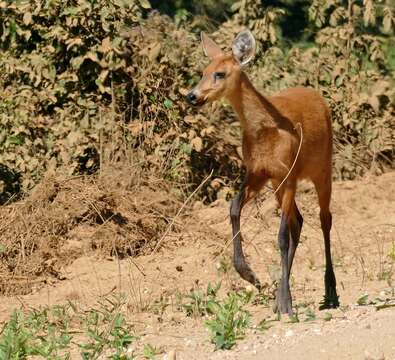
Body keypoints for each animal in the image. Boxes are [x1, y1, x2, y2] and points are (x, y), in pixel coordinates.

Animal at [186, 31, 340, 316]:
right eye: (203, 72)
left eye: (220, 73)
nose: (192, 96)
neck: (265, 131)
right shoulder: (258, 172)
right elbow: (234, 208)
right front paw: (249, 275)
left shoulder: (289, 173)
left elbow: (280, 237)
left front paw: (287, 304)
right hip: (280, 184)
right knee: (299, 221)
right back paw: (281, 297)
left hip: (323, 168)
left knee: (324, 219)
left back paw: (330, 292)